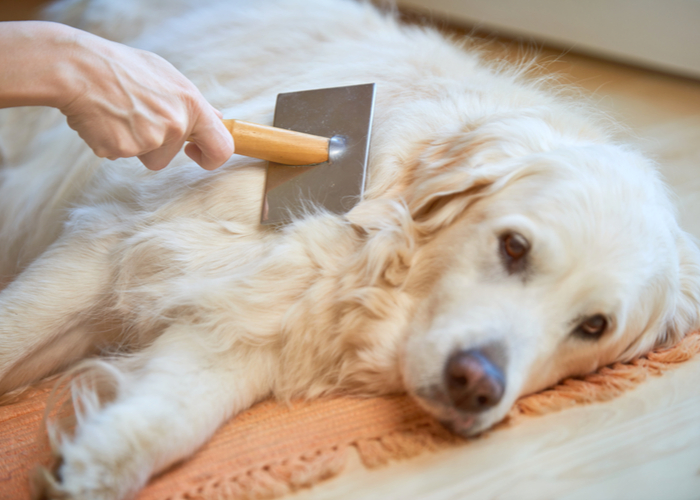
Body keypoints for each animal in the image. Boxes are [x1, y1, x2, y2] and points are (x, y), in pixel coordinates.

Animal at [1, 0, 700, 500]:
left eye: (594, 326)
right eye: (514, 247)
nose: (475, 385)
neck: (366, 252)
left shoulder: (253, 323)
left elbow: (178, 410)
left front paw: (93, 462)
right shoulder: (113, 244)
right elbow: (16, 330)